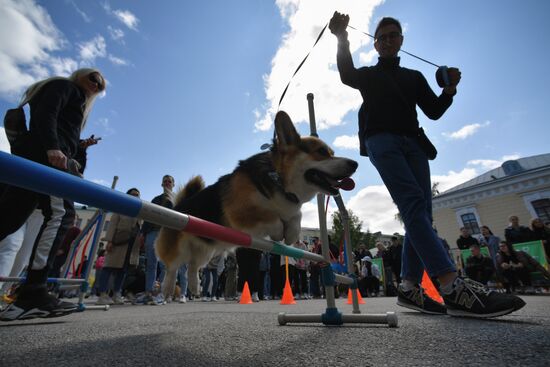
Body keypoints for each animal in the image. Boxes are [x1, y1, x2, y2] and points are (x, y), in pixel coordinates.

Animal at [157, 110, 360, 298]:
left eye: (332, 153)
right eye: (321, 152)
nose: (355, 163)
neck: (278, 178)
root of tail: (179, 206)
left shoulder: (290, 208)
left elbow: (296, 216)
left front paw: (291, 233)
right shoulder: (240, 211)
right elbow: (271, 217)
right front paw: (279, 232)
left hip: (206, 248)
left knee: (192, 266)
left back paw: (194, 287)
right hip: (179, 243)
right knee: (172, 266)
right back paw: (167, 289)